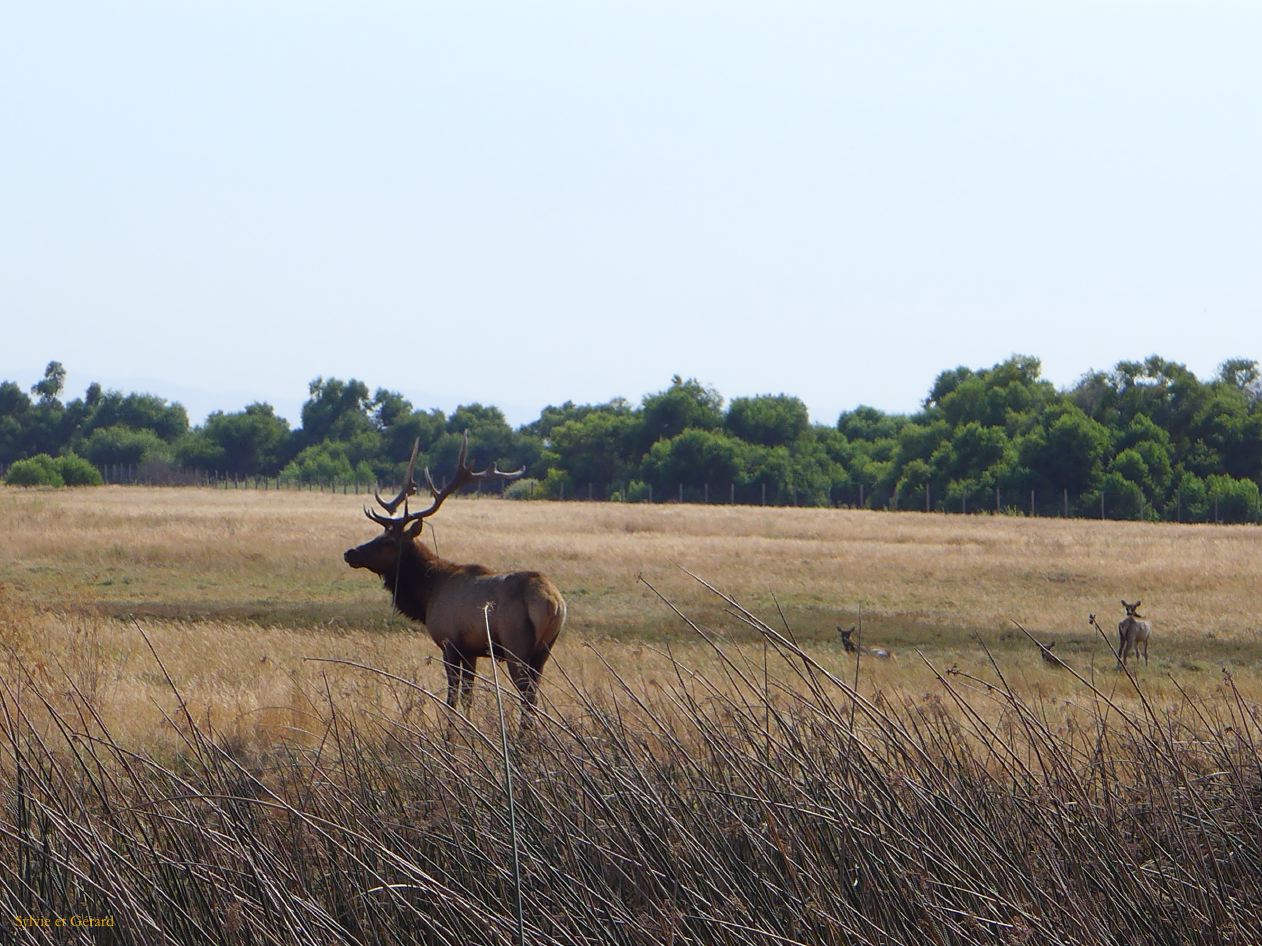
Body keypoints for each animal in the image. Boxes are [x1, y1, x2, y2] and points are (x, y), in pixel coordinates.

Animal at [343, 434, 566, 731]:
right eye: (379, 534)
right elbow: (468, 696)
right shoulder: (471, 650)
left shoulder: (449, 643)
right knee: (534, 695)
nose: (350, 553)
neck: (427, 594)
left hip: (516, 645)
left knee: (526, 696)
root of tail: (554, 603)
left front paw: (450, 735)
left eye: (388, 541)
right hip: (544, 649)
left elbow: (452, 697)